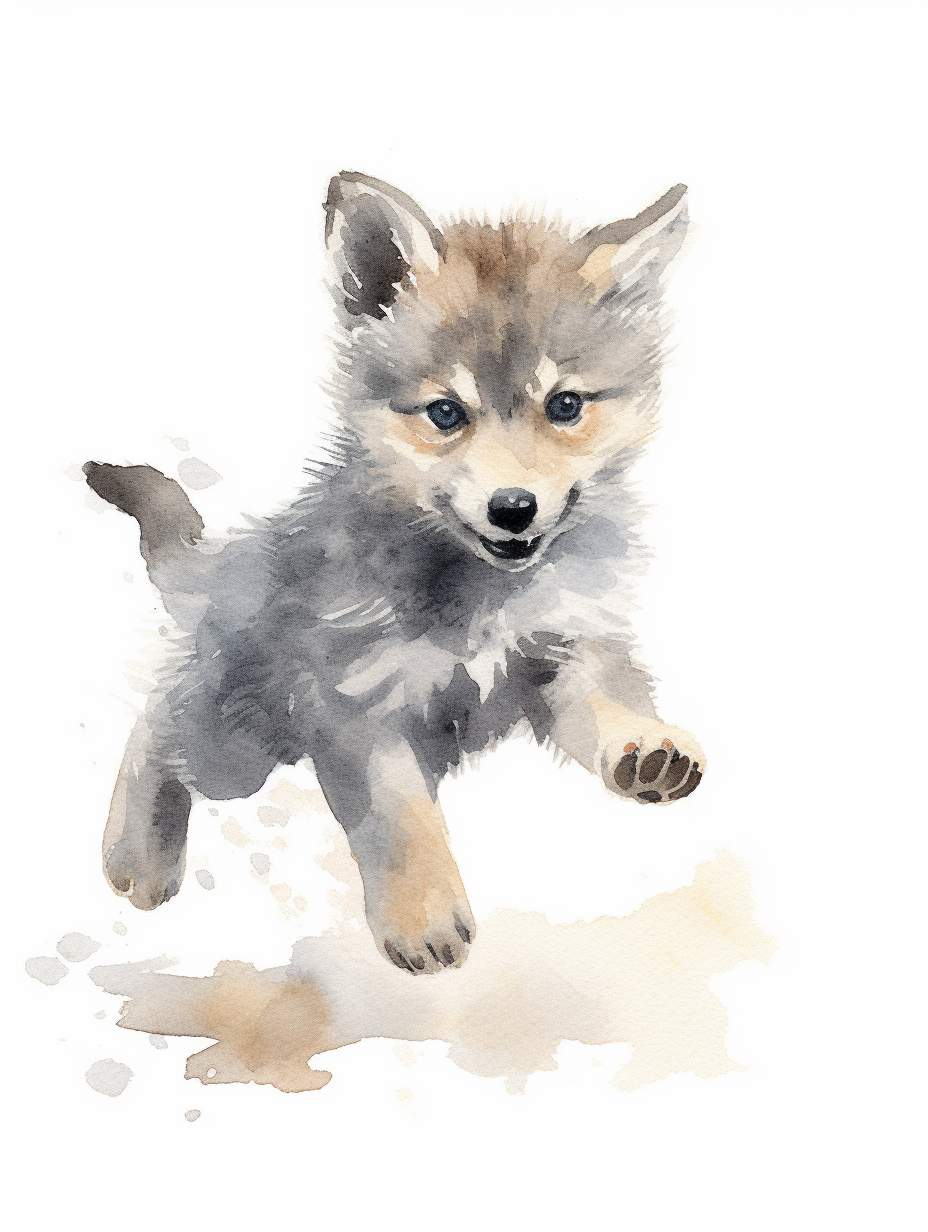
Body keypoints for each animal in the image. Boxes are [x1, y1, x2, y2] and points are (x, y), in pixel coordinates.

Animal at [84, 171, 705, 974]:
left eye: (566, 405)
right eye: (445, 413)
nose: (514, 509)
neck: (481, 594)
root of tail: (225, 568)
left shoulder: (565, 649)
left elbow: (609, 700)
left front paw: (647, 746)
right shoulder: (358, 703)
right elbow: (398, 817)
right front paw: (421, 916)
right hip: (234, 748)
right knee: (157, 720)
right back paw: (137, 852)